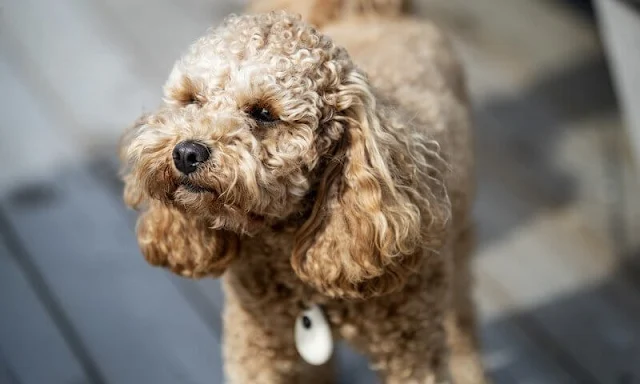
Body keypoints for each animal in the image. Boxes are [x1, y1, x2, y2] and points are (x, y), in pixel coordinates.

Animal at [120, 1, 484, 382]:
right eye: (191, 100)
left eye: (264, 113)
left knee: (461, 318)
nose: (186, 153)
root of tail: (378, 14)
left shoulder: (413, 352)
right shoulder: (257, 342)